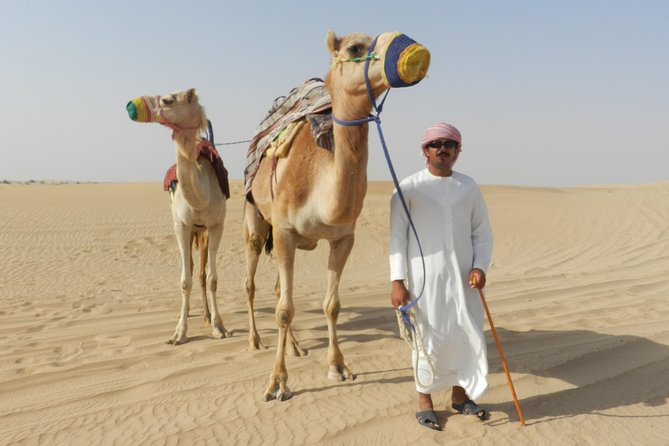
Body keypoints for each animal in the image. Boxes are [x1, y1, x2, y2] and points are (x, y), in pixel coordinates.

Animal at [126, 89, 230, 345]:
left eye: (168, 100)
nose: (130, 106)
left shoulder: (217, 225)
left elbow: (212, 278)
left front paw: (219, 326)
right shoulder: (181, 225)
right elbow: (185, 280)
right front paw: (179, 333)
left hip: (202, 231)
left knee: (201, 272)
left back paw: (206, 315)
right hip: (191, 229)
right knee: (191, 269)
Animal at [243, 31, 430, 401]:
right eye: (355, 48)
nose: (409, 47)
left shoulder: (344, 237)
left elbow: (332, 305)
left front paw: (339, 366)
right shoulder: (284, 232)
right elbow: (284, 310)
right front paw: (277, 383)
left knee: (278, 289)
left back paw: (296, 347)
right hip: (257, 219)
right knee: (253, 282)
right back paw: (255, 340)